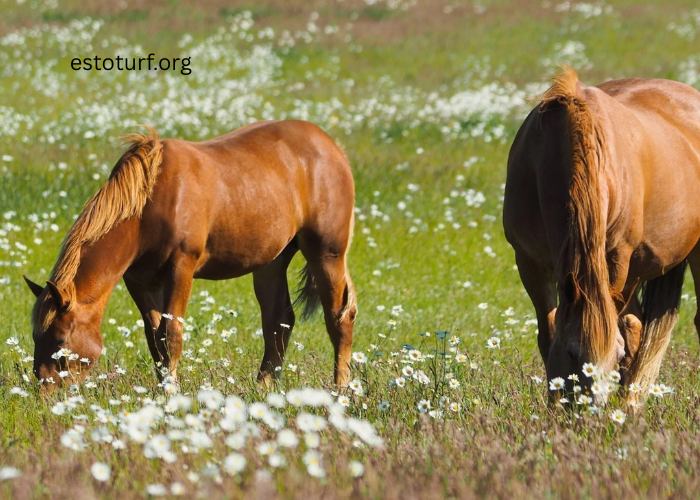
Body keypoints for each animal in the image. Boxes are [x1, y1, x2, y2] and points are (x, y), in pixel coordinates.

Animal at [24, 120, 357, 391]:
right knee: (278, 320)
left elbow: (170, 335)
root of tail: (332, 147)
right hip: (271, 262)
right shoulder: (138, 280)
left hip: (327, 254)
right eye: (36, 337)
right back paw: (263, 388)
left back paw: (340, 390)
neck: (150, 203)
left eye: (60, 341)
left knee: (339, 317)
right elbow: (154, 338)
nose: (44, 394)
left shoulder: (181, 267)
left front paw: (170, 393)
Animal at [503, 67, 700, 407]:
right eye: (572, 353)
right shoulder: (529, 263)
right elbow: (548, 334)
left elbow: (625, 335)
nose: (590, 410)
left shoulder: (617, 258)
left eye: (613, 355)